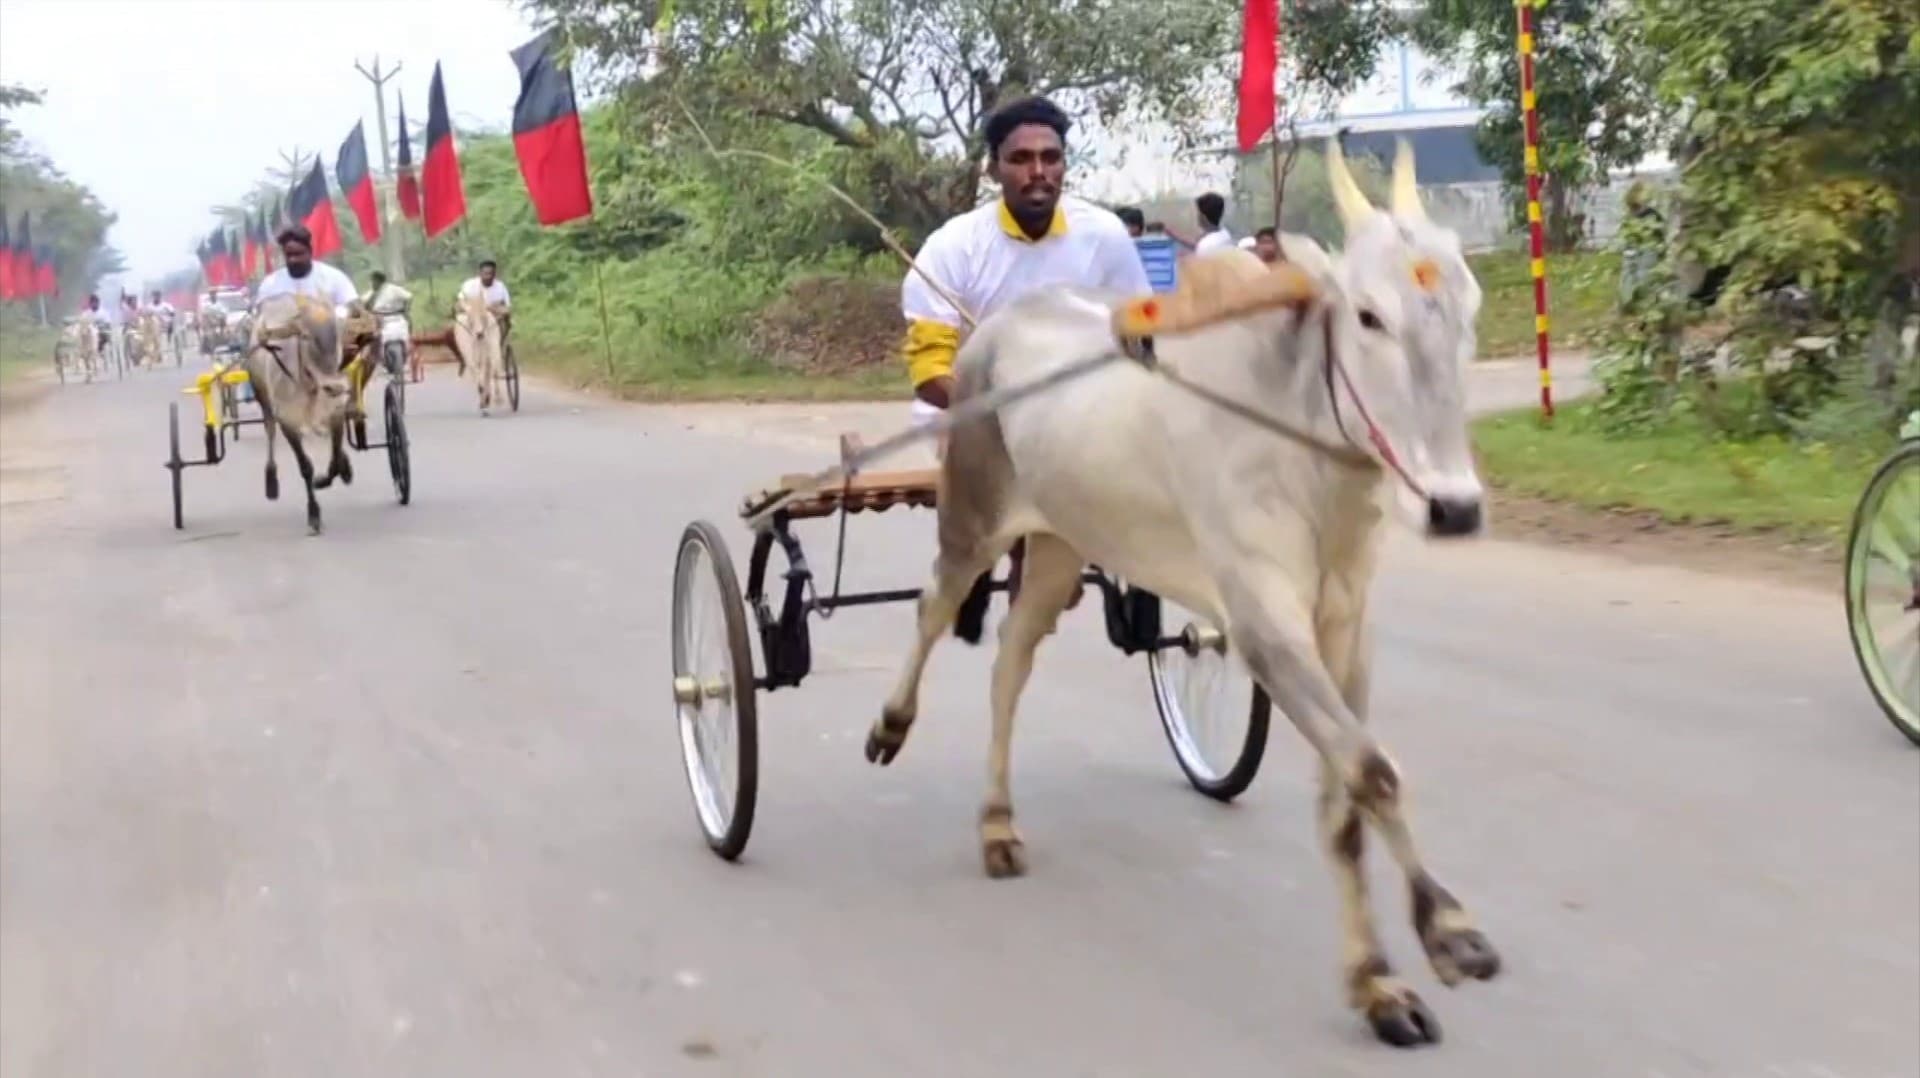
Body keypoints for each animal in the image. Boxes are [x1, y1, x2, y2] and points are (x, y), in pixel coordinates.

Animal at [871, 141, 1497, 1045]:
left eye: (1467, 309)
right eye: (1369, 316)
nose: (1455, 508)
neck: (1304, 449)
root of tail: (996, 328)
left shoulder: (1345, 628)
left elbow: (1347, 796)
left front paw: (1377, 984)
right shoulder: (1267, 628)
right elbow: (1376, 773)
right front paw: (1446, 930)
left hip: (1059, 547)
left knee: (1011, 663)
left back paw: (997, 823)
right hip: (972, 521)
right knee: (931, 610)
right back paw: (891, 725)